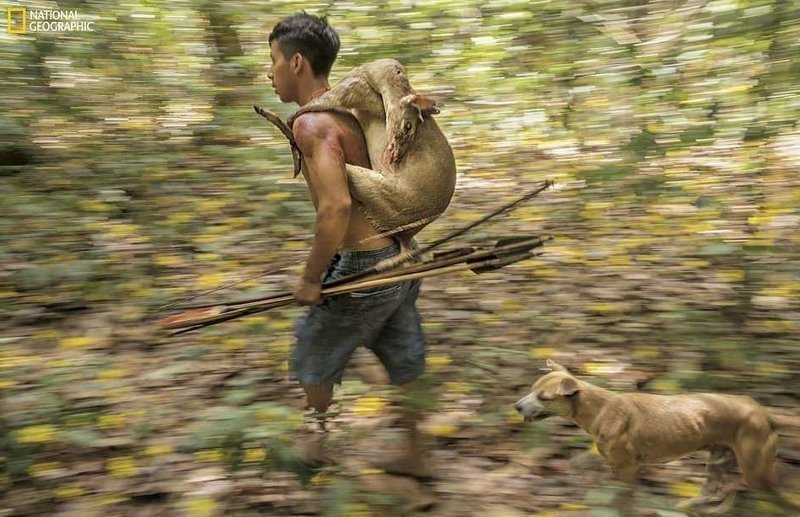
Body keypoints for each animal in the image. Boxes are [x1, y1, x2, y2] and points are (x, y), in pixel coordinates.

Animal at [516, 360, 784, 510]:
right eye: (532, 389)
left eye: (544, 397)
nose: (516, 406)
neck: (600, 409)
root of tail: (761, 411)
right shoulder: (611, 462)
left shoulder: (627, 468)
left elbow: (623, 499)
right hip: (718, 462)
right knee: (713, 493)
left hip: (755, 470)